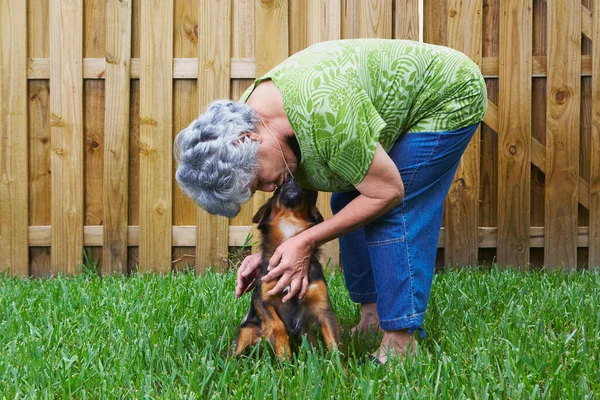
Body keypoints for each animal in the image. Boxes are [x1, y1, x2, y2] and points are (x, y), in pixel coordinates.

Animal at [232, 180, 340, 358]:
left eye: (304, 190)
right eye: (277, 190)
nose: (290, 180)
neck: (289, 229)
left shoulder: (323, 308)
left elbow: (334, 343)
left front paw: (338, 365)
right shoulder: (263, 299)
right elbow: (277, 324)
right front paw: (284, 353)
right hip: (247, 332)